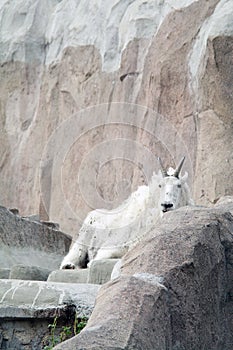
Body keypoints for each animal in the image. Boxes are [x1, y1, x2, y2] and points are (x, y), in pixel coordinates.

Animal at [59, 157, 193, 270]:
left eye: (179, 185)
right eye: (161, 185)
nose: (166, 205)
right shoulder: (114, 246)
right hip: (83, 240)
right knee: (72, 256)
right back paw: (69, 265)